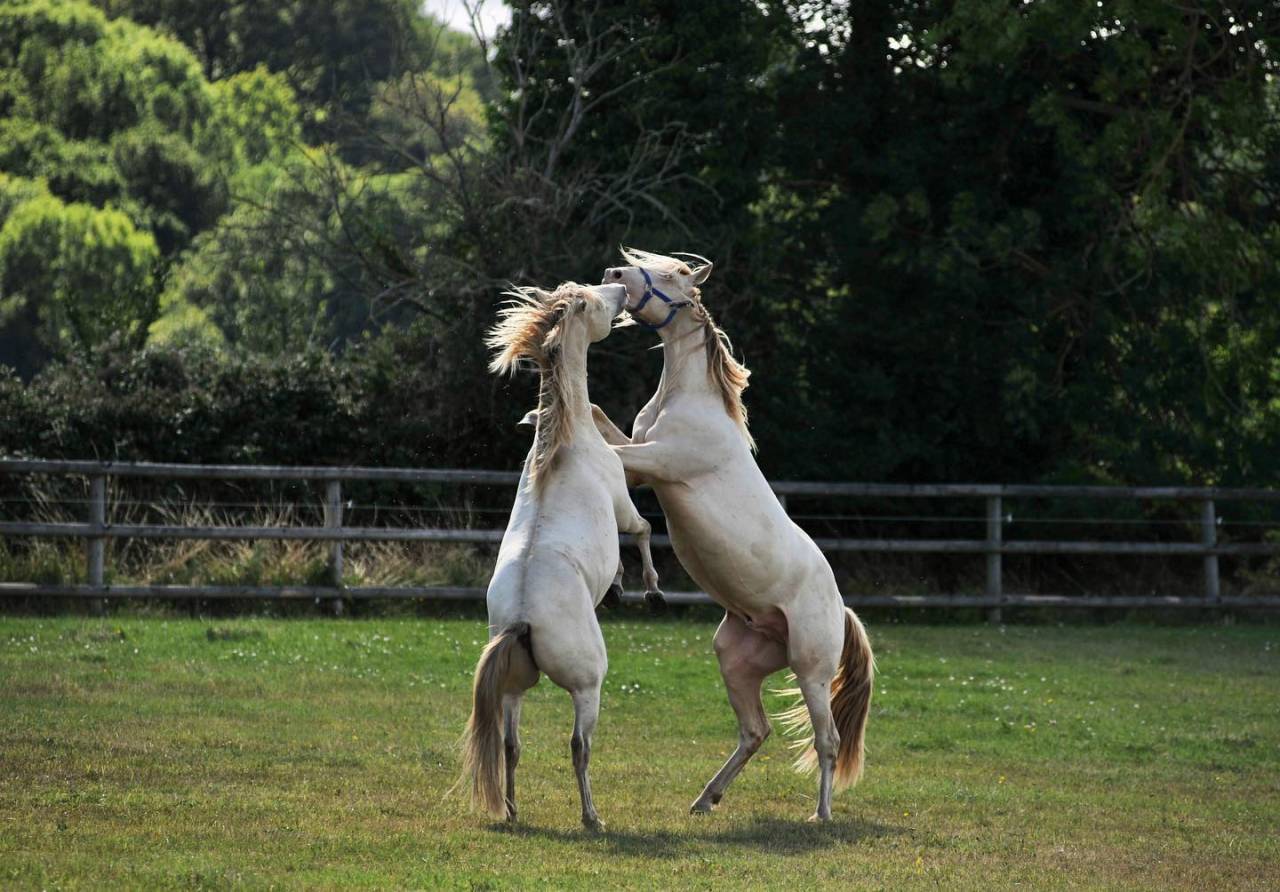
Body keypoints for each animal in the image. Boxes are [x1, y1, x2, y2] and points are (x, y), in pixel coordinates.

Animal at [461, 281, 661, 831]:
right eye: (593, 302)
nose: (619, 288)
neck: (565, 444)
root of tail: (522, 621)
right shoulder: (622, 508)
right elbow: (642, 532)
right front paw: (648, 590)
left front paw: (618, 589)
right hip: (587, 684)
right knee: (578, 745)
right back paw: (592, 817)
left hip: (511, 691)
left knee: (510, 746)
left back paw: (511, 810)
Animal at [593, 249, 875, 822]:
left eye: (676, 273)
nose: (615, 275)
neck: (686, 400)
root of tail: (841, 608)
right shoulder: (641, 460)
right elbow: (600, 424)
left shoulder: (658, 462)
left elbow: (606, 450)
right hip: (737, 658)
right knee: (755, 731)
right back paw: (706, 798)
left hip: (811, 670)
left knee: (828, 740)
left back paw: (821, 814)